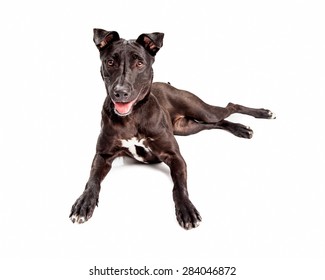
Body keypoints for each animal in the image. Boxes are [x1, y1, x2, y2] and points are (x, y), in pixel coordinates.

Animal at [69, 28, 274, 230]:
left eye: (140, 63)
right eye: (110, 62)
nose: (120, 92)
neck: (132, 117)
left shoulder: (174, 156)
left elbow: (179, 187)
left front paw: (187, 209)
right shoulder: (103, 155)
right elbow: (92, 181)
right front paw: (83, 203)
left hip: (201, 110)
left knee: (230, 107)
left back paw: (259, 115)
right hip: (188, 127)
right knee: (215, 123)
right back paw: (242, 128)